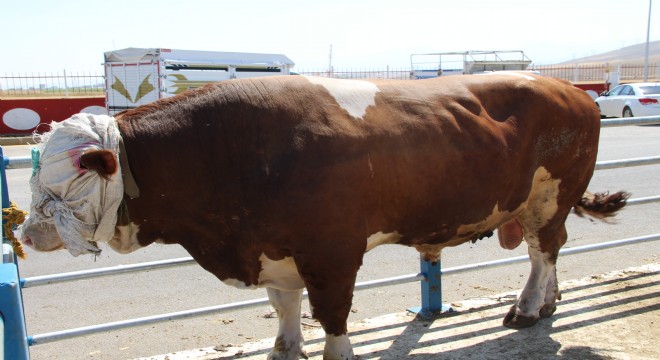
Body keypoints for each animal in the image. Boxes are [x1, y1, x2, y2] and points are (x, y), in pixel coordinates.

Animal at [21, 74, 628, 360]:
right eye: (34, 174)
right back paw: (547, 304)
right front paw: (284, 348)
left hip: (549, 194)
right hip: (540, 201)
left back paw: (527, 309)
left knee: (542, 250)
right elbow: (284, 306)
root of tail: (569, 89)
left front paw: (334, 350)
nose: (26, 232)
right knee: (552, 249)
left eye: (68, 179)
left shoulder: (332, 252)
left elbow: (331, 314)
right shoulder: (272, 248)